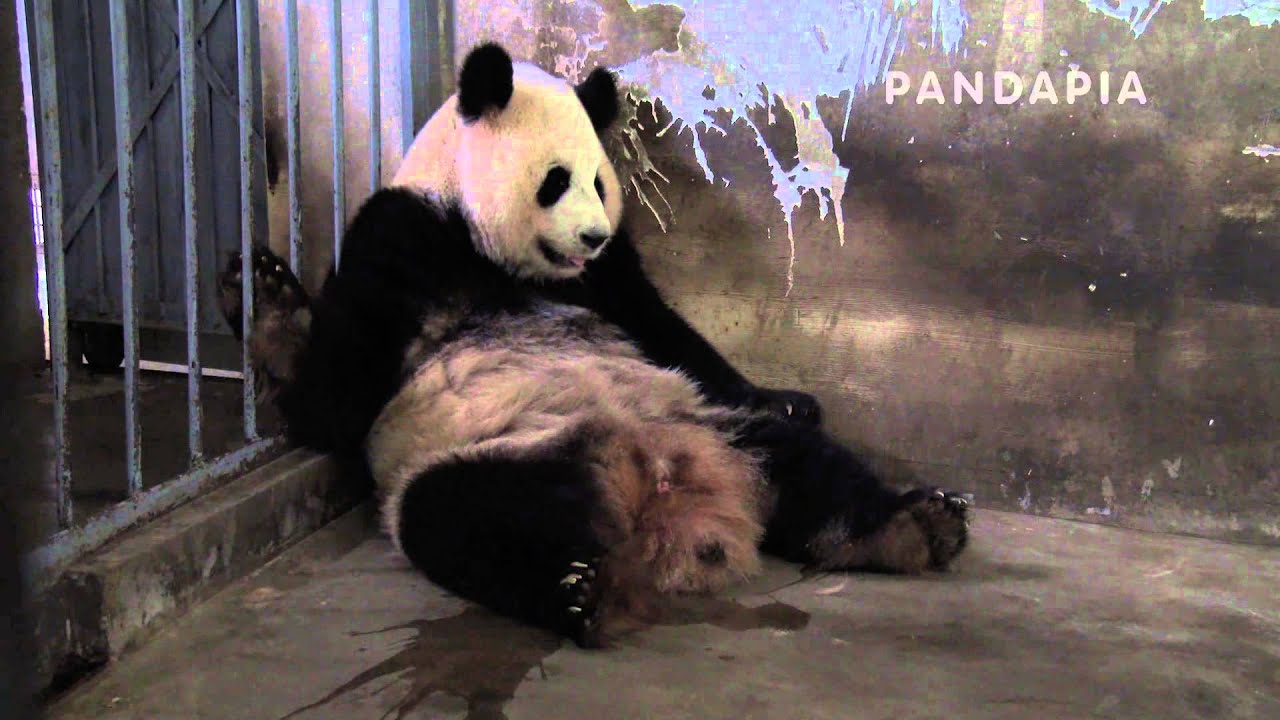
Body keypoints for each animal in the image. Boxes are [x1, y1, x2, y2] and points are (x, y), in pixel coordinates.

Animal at [220, 42, 971, 648]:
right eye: (556, 180)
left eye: (600, 182)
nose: (591, 234)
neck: (488, 247)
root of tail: (661, 480)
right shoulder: (400, 236)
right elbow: (335, 403)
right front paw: (266, 300)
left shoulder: (610, 277)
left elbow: (667, 329)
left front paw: (788, 397)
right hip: (488, 456)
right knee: (466, 519)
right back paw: (584, 591)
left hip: (711, 423)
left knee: (806, 464)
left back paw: (915, 526)